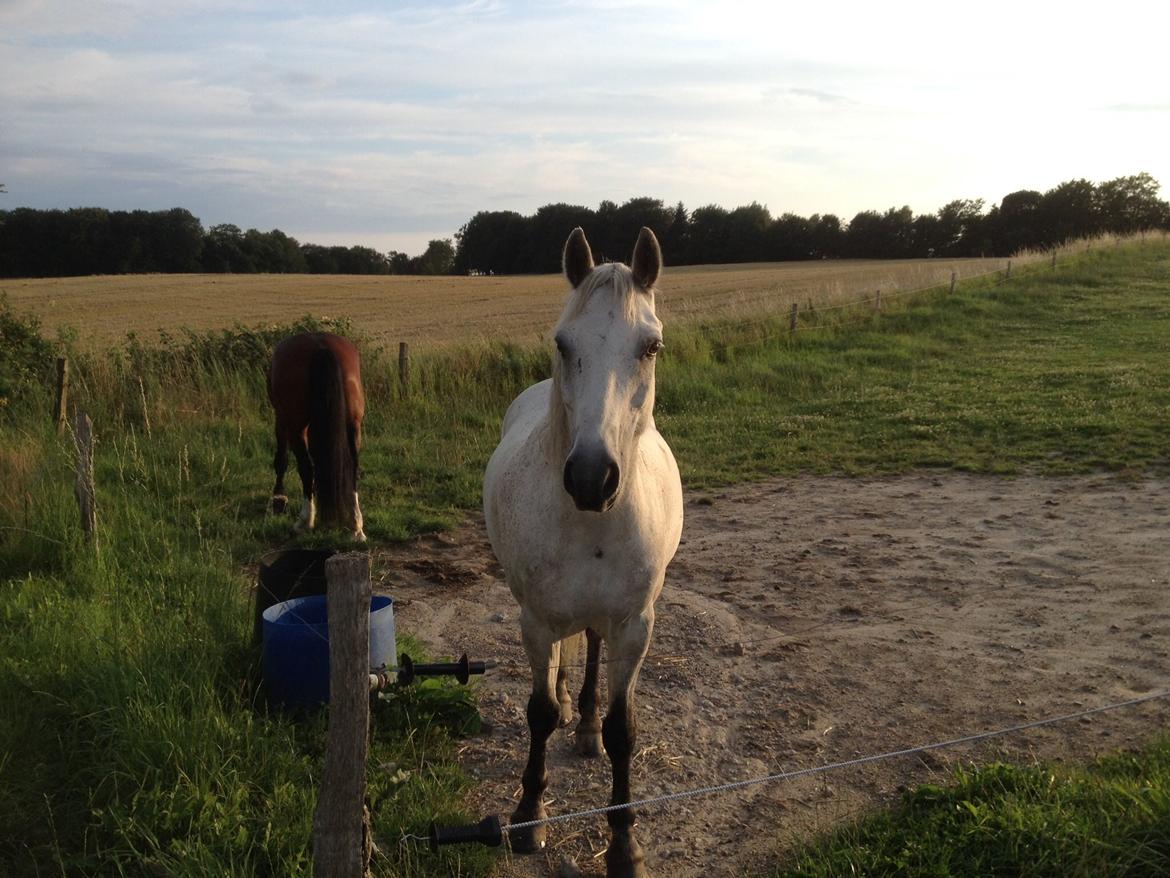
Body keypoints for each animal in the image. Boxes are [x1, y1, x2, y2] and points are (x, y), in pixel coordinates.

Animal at [267, 332, 362, 540]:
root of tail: (320, 346)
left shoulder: (281, 418)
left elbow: (281, 459)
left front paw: (279, 498)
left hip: (294, 425)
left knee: (306, 467)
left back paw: (305, 521)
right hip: (353, 424)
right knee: (352, 466)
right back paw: (356, 525)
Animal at [484, 228, 683, 878]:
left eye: (651, 347)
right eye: (561, 342)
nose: (592, 478)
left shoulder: (635, 624)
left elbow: (625, 729)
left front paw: (624, 845)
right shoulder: (536, 621)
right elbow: (539, 711)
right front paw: (528, 816)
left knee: (591, 646)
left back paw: (588, 723)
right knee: (566, 662)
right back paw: (575, 706)